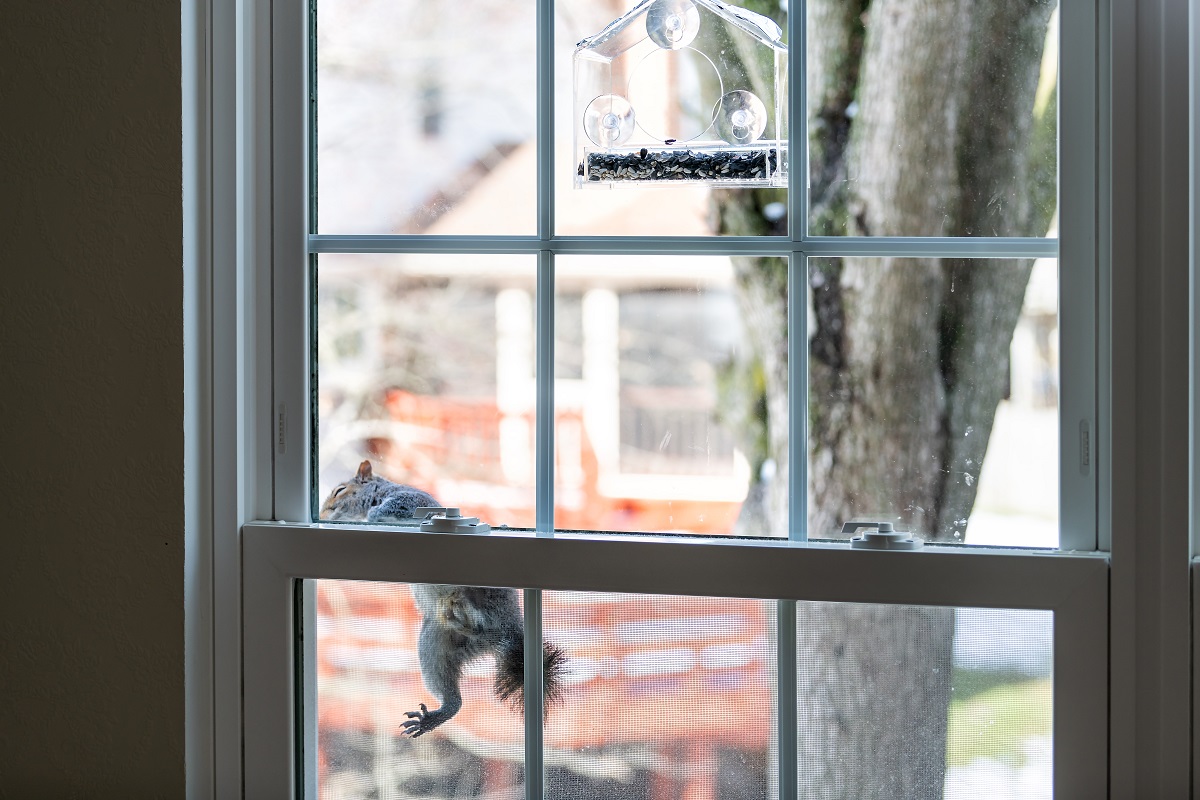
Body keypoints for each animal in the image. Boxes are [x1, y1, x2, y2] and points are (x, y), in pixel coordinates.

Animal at [320, 460, 568, 737]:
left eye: (340, 490)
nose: (324, 512)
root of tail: (503, 633)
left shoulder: (409, 499)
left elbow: (392, 508)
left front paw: (375, 513)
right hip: (436, 642)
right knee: (453, 692)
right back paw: (438, 712)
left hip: (489, 601)